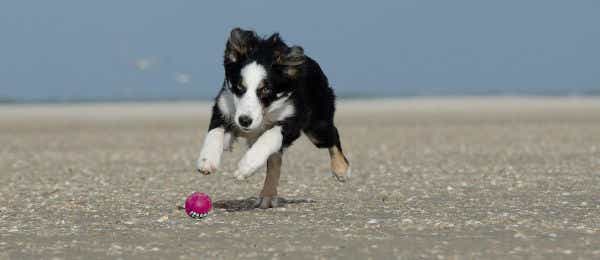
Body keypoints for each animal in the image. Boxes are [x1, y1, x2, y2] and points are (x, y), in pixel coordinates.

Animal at [197, 27, 350, 208]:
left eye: (265, 90)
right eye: (239, 87)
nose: (244, 121)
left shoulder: (293, 119)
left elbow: (269, 136)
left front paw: (245, 167)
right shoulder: (224, 108)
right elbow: (214, 133)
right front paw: (206, 161)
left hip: (317, 127)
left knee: (333, 136)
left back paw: (341, 170)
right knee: (275, 161)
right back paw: (267, 196)